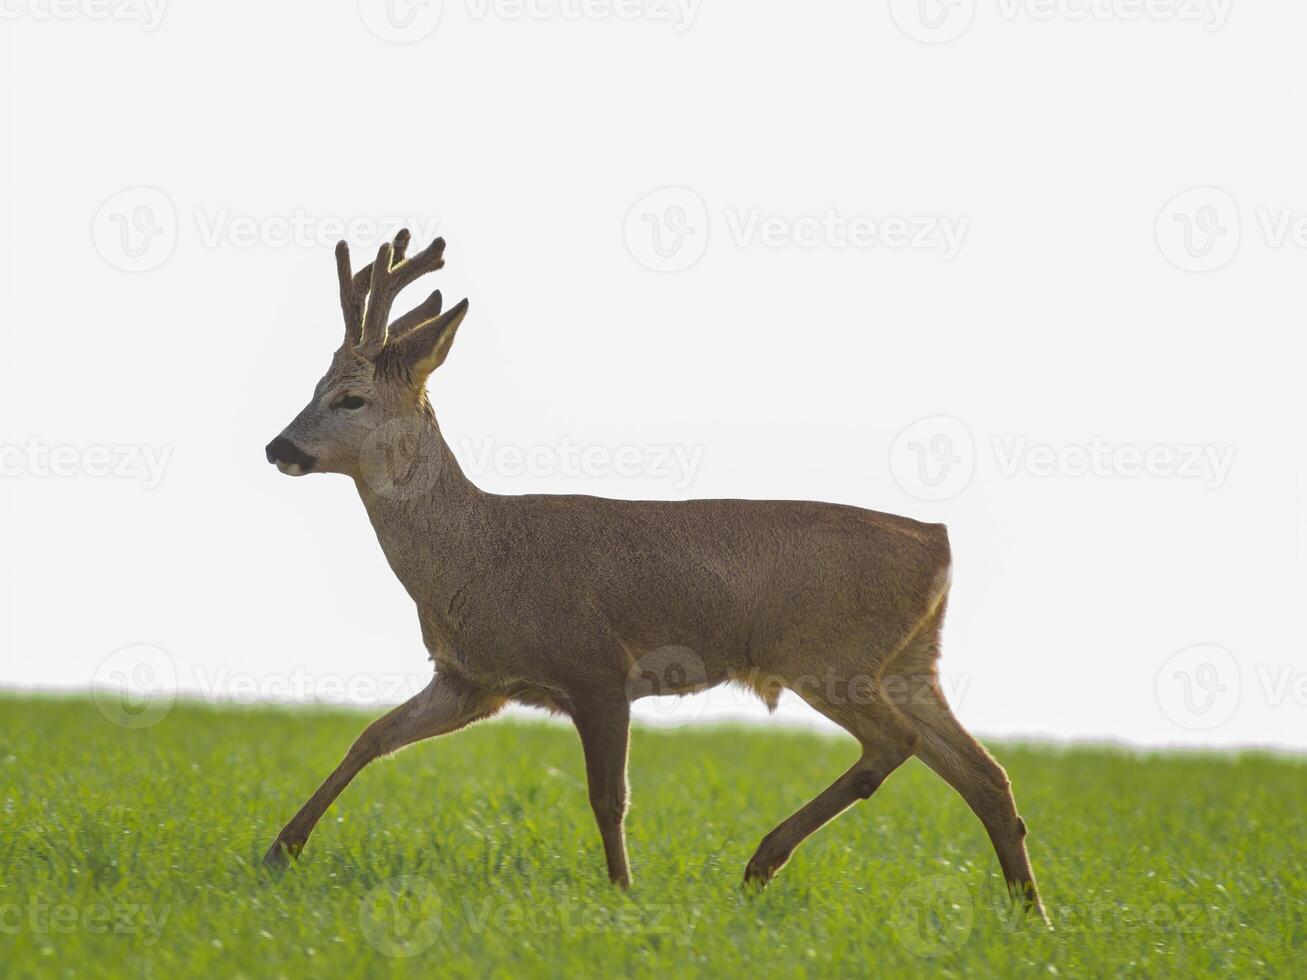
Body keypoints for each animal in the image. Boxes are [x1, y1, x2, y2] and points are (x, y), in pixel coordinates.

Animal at [260, 228, 1045, 919]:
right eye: (314, 385)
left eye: (351, 398)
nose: (277, 447)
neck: (475, 557)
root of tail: (938, 543)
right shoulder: (472, 680)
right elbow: (369, 739)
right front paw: (277, 851)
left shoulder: (595, 668)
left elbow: (609, 797)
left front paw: (621, 891)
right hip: (906, 661)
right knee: (985, 775)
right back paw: (1029, 913)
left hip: (826, 653)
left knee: (897, 745)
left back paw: (762, 861)